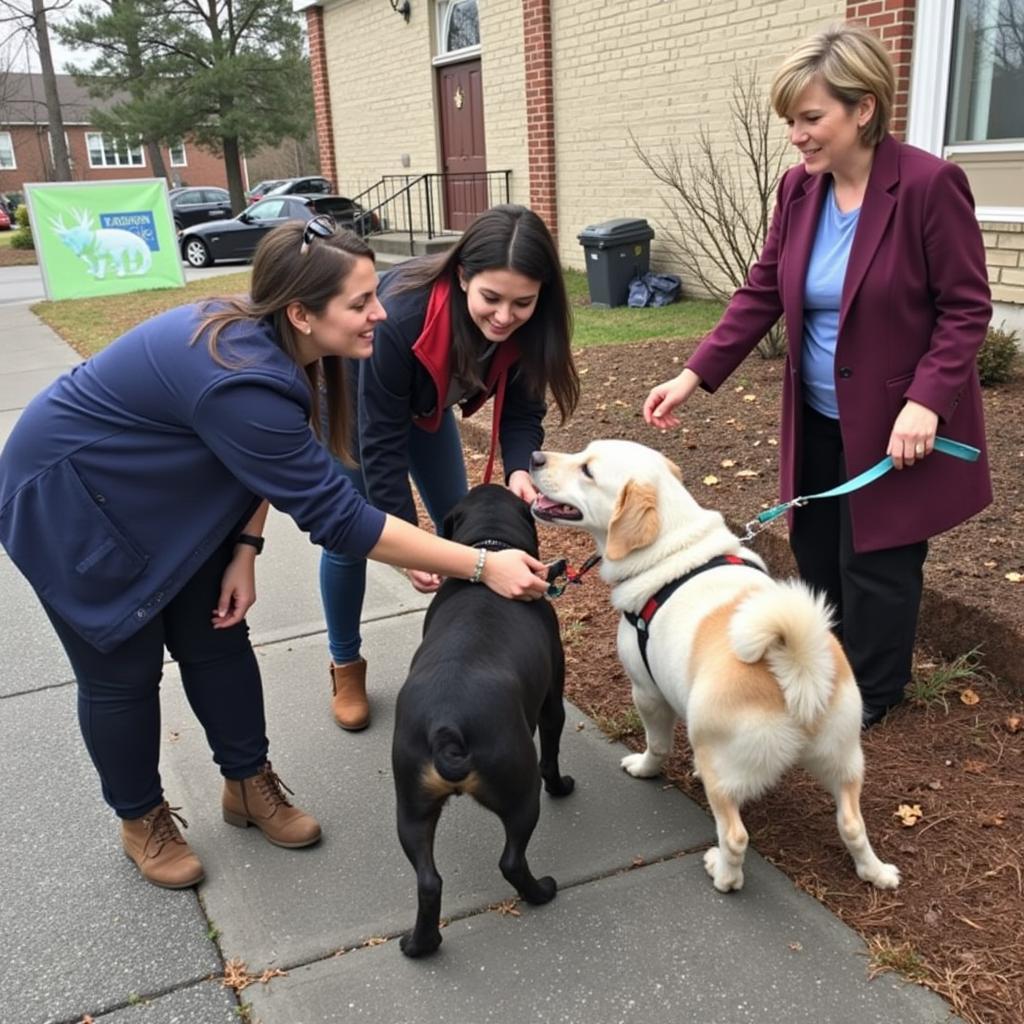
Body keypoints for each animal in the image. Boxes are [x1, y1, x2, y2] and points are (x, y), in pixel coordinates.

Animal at [391, 483, 577, 954]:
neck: (492, 548)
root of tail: (448, 728)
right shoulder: (552, 703)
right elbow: (552, 753)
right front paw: (563, 786)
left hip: (411, 807)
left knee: (428, 881)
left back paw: (420, 945)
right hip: (521, 793)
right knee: (511, 860)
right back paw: (541, 892)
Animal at [532, 440, 901, 897]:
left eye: (587, 470)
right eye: (583, 452)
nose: (534, 458)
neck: (673, 549)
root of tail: (797, 667)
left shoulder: (647, 693)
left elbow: (657, 746)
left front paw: (645, 769)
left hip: (721, 771)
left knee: (736, 836)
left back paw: (723, 874)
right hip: (846, 760)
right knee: (852, 825)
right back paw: (877, 872)